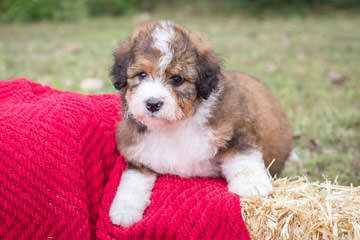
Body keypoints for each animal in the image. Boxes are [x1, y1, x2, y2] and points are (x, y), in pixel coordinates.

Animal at [109, 20, 292, 227]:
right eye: (142, 75)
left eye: (177, 79)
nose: (153, 103)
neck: (175, 125)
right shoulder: (138, 150)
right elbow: (133, 179)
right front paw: (124, 209)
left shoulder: (234, 128)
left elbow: (242, 157)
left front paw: (251, 185)